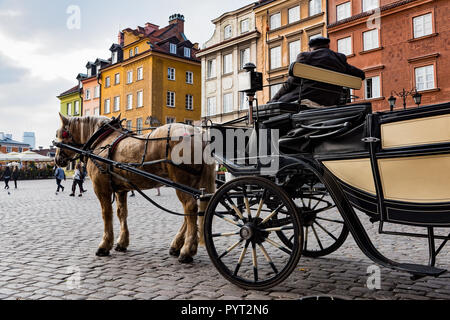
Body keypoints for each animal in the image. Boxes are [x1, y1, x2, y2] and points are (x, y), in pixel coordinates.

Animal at [54, 114, 216, 264]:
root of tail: (198, 133)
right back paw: (177, 245)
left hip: (182, 182)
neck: (102, 141)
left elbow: (107, 214)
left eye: (61, 133)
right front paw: (122, 242)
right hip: (190, 185)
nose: (57, 159)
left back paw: (186, 250)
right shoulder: (121, 190)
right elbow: (122, 213)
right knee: (189, 213)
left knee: (190, 208)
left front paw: (105, 245)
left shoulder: (101, 188)